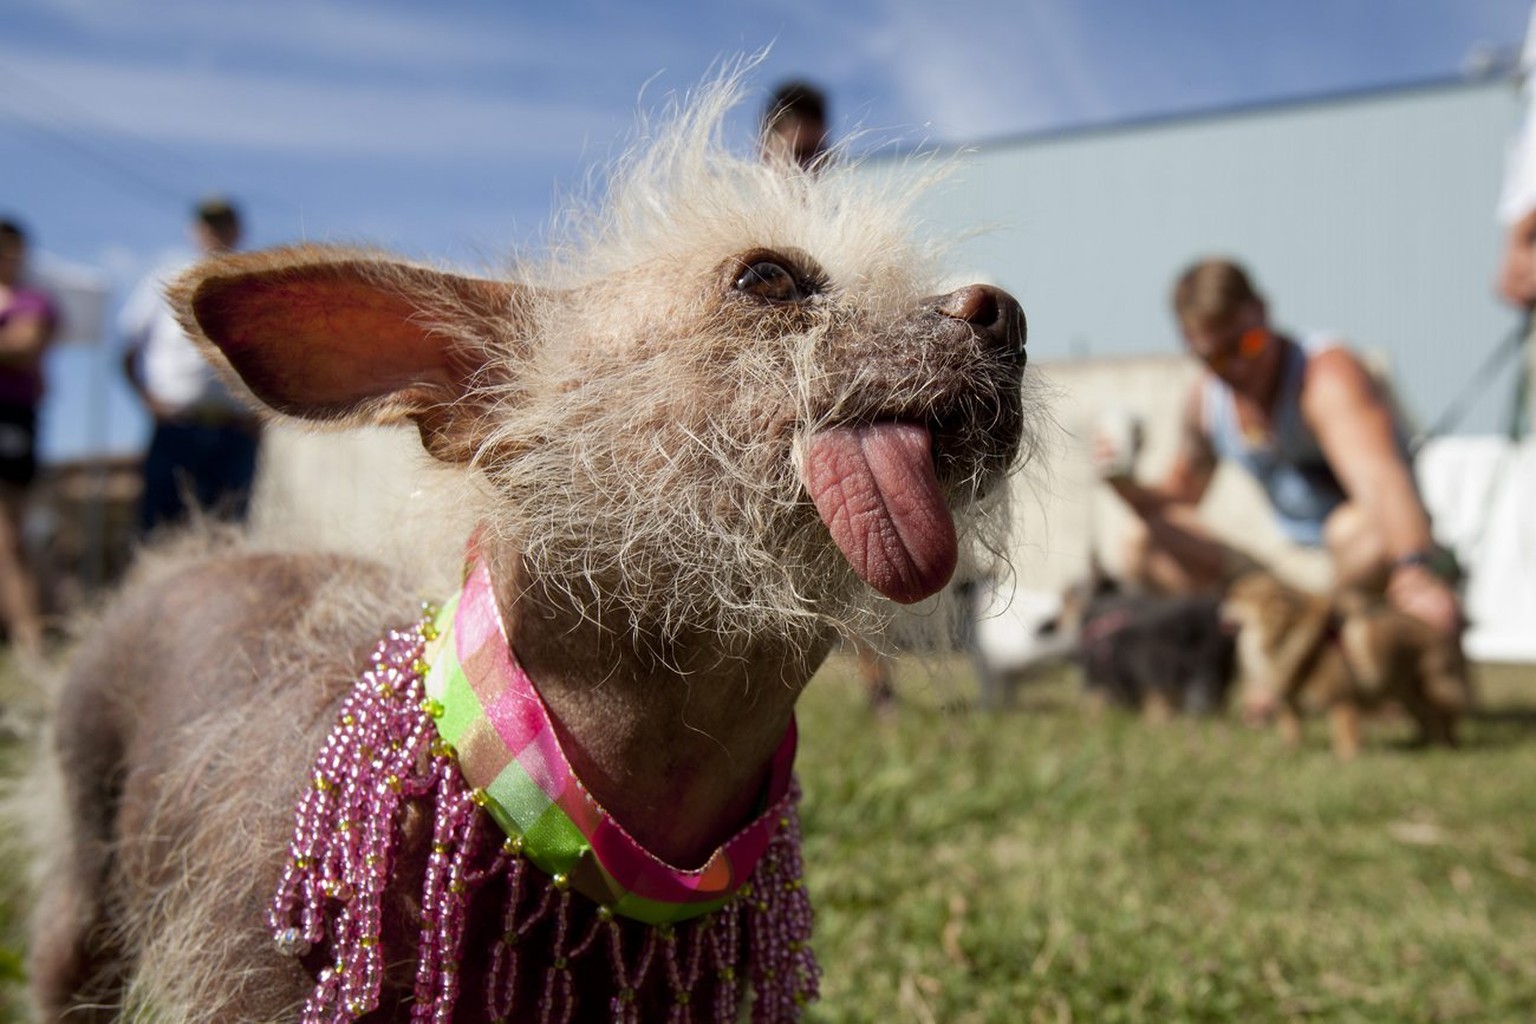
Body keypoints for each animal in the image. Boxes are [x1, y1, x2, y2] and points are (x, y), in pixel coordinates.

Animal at [1222, 574, 1462, 758]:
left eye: (1237, 595)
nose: (1221, 599)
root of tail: (1438, 636)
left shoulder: (1342, 699)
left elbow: (1345, 735)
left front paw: (1345, 759)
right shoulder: (1289, 700)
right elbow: (1291, 728)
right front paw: (1289, 751)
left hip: (1428, 691)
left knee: (1444, 716)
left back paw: (1445, 746)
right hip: (1408, 697)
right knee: (1427, 719)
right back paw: (1424, 744)